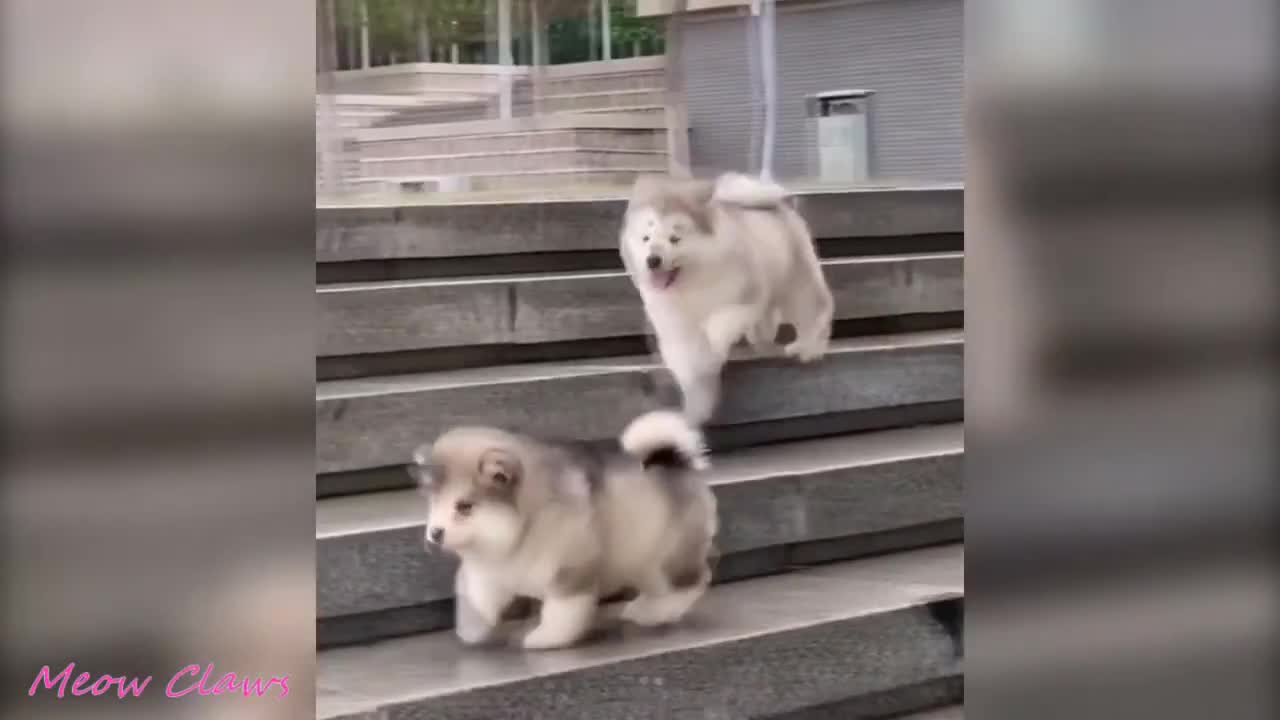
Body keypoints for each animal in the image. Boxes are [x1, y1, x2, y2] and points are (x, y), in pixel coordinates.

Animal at [414, 409, 727, 650]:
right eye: (433, 502)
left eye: (464, 506)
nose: (435, 533)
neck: (522, 529)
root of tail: (677, 464)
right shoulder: (487, 573)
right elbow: (476, 600)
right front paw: (472, 631)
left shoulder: (570, 572)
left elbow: (561, 614)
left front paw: (545, 639)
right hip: (642, 559)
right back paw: (647, 609)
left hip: (669, 557)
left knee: (693, 581)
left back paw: (656, 613)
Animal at [616, 171, 829, 422]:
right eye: (646, 239)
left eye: (674, 238)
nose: (653, 260)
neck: (691, 283)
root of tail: (776, 205)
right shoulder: (674, 322)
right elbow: (687, 361)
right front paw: (698, 402)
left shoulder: (745, 295)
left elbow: (721, 322)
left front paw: (714, 346)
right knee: (766, 322)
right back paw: (763, 343)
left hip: (796, 280)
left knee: (814, 310)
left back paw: (809, 348)